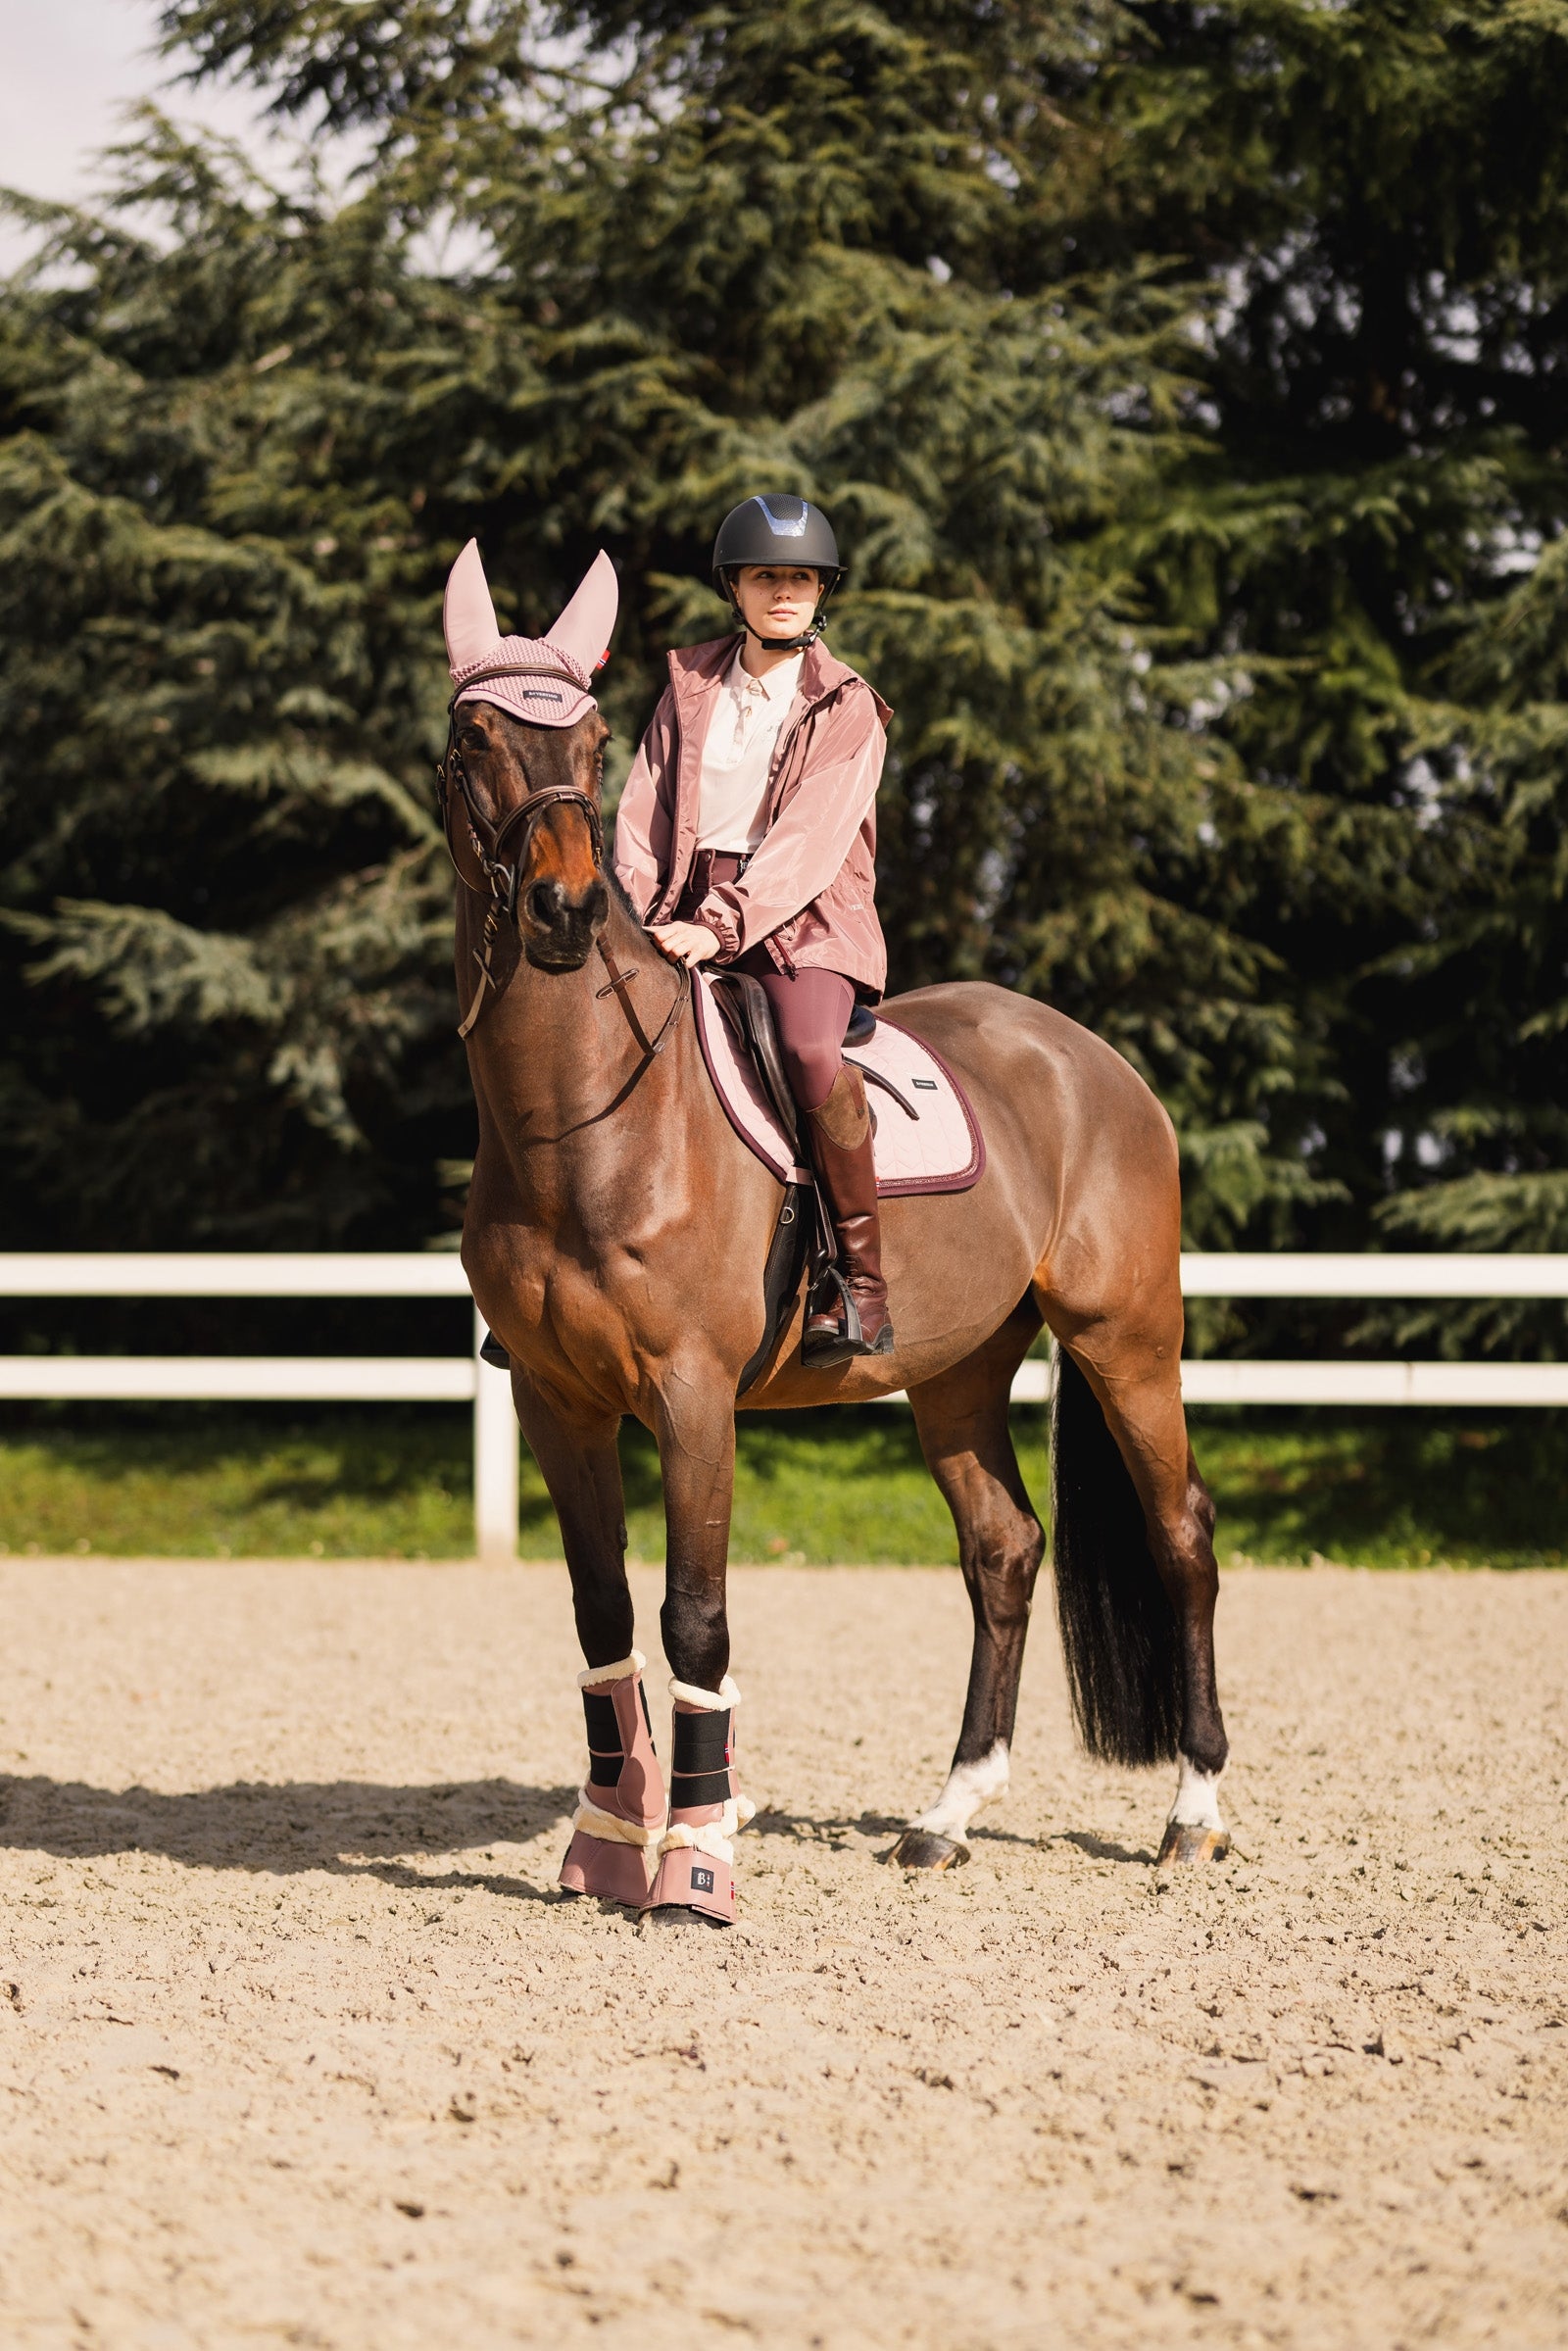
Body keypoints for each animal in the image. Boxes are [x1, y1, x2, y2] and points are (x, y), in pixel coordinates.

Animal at [447, 682, 1231, 1909]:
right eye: (474, 739)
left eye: (591, 742)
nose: (564, 909)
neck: (584, 1120)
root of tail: (1094, 1059)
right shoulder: (554, 1400)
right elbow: (601, 1612)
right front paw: (608, 1839)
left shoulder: (691, 1397)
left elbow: (695, 1617)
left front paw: (693, 1863)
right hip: (957, 1374)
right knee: (1003, 1550)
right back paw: (945, 1815)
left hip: (1128, 1342)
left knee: (1180, 1534)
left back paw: (1192, 1813)